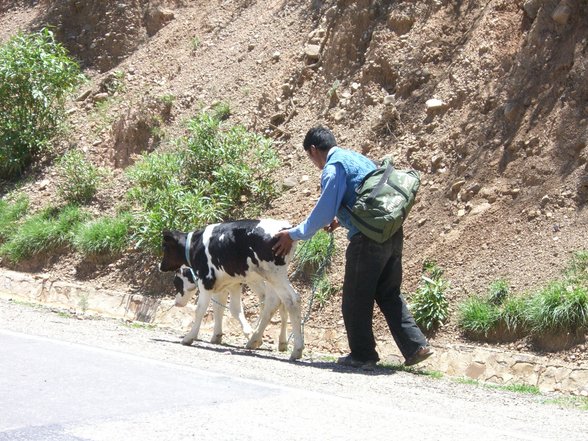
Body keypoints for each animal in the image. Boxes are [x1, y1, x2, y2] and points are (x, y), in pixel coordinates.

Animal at [160, 218, 304, 360]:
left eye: (176, 282)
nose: (161, 267)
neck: (195, 245)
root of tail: (284, 226)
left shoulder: (207, 280)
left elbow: (201, 309)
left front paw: (189, 337)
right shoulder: (228, 284)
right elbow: (222, 308)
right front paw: (217, 335)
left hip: (273, 274)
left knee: (290, 300)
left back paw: (296, 349)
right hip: (270, 277)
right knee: (275, 302)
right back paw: (263, 340)